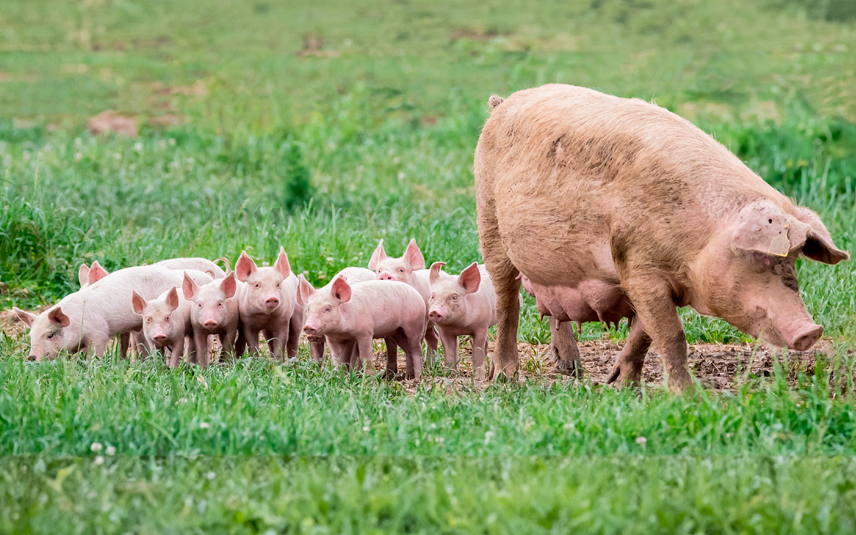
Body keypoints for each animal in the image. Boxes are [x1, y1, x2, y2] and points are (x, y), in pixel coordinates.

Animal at [12, 266, 212, 362]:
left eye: (50, 335)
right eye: (31, 336)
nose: (31, 357)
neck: (77, 323)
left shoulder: (99, 333)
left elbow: (96, 354)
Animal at [298, 276, 428, 382]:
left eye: (328, 308)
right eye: (308, 309)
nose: (308, 327)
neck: (340, 331)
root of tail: (417, 294)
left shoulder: (365, 332)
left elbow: (365, 356)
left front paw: (368, 379)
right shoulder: (335, 338)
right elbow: (339, 359)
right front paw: (339, 377)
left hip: (414, 325)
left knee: (416, 350)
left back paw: (417, 378)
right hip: (397, 332)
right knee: (408, 350)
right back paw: (408, 377)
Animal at [366, 241, 438, 374]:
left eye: (401, 270)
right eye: (379, 270)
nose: (385, 274)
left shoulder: (421, 320)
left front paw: (410, 374)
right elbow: (390, 346)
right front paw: (387, 375)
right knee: (433, 337)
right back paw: (429, 365)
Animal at [474, 86, 848, 392]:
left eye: (794, 260)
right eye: (759, 257)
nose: (811, 331)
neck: (700, 239)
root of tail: (501, 104)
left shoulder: (650, 283)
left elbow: (645, 334)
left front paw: (621, 385)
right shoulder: (639, 269)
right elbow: (672, 335)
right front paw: (688, 397)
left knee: (553, 307)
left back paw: (573, 370)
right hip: (488, 219)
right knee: (507, 301)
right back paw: (505, 378)